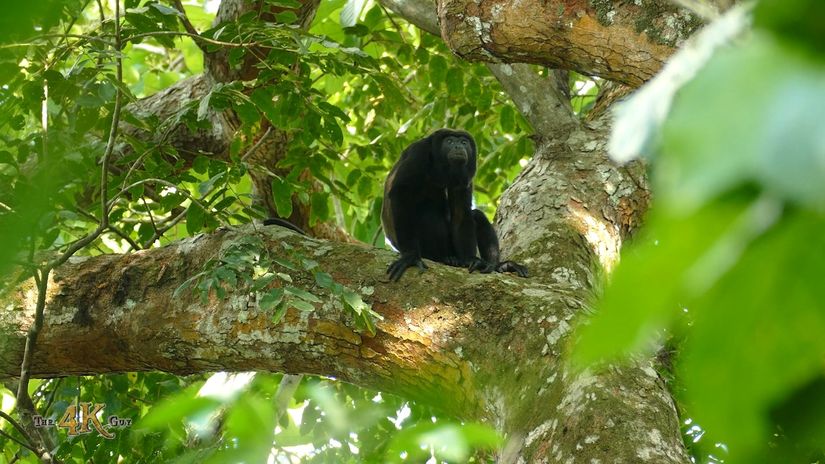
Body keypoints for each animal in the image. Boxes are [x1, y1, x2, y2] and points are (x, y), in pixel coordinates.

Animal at [382, 130, 528, 282]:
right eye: (450, 141)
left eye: (464, 142)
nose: (458, 146)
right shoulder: (419, 152)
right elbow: (400, 193)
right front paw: (410, 256)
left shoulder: (466, 176)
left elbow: (461, 211)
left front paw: (470, 259)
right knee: (428, 212)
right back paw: (444, 258)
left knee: (477, 215)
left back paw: (496, 265)